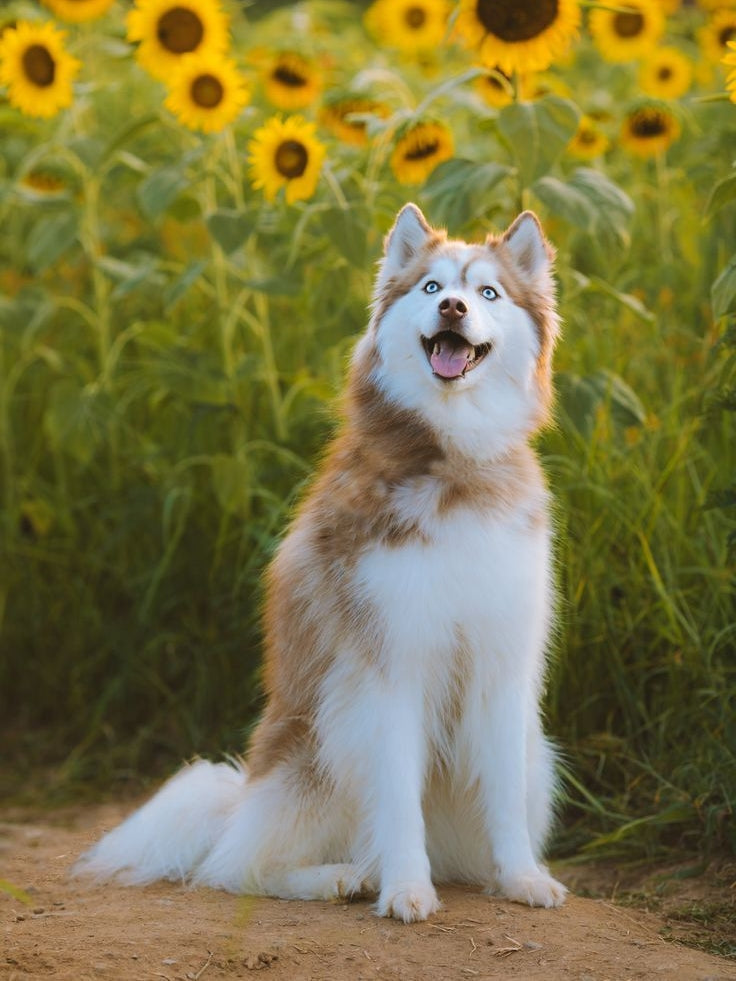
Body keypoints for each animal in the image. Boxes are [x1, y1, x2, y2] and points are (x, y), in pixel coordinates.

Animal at [76, 205, 564, 920]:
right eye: (431, 287)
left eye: (488, 293)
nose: (451, 307)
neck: (455, 464)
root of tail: (242, 795)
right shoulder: (389, 668)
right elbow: (398, 801)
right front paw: (406, 888)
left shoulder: (503, 667)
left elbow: (501, 794)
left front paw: (522, 877)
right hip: (320, 745)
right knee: (234, 866)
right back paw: (338, 877)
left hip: (537, 757)